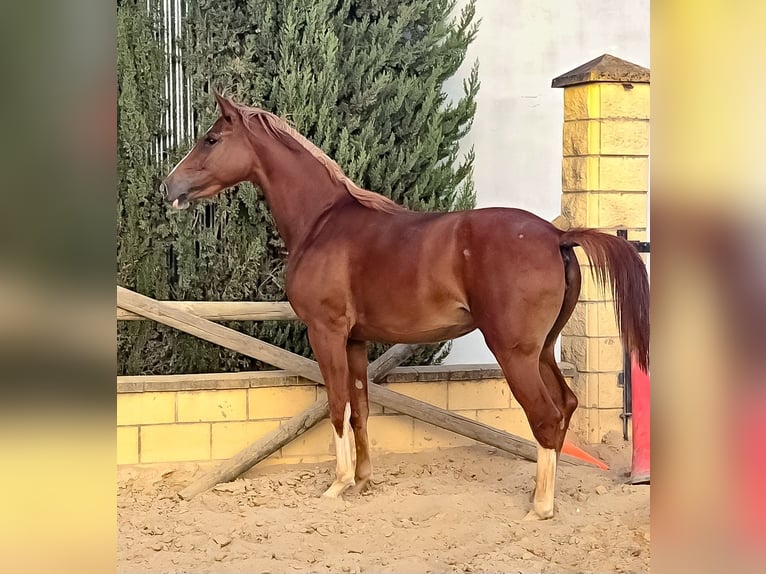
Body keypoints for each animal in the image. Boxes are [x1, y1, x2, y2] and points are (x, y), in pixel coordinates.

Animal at [160, 94, 648, 520]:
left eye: (211, 139)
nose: (168, 186)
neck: (323, 223)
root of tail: (557, 235)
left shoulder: (326, 332)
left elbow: (337, 405)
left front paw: (336, 486)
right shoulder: (355, 341)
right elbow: (360, 408)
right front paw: (362, 481)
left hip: (515, 353)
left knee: (545, 416)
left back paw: (540, 508)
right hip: (542, 349)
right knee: (565, 405)